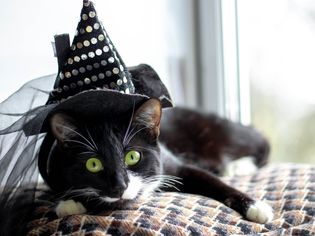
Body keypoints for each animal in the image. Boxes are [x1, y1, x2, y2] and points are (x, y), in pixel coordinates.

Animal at [37, 98, 274, 224]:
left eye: (133, 157)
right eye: (93, 164)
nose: (120, 186)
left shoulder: (174, 164)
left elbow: (213, 182)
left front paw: (256, 206)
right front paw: (68, 203)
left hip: (221, 134)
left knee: (262, 143)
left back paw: (238, 166)